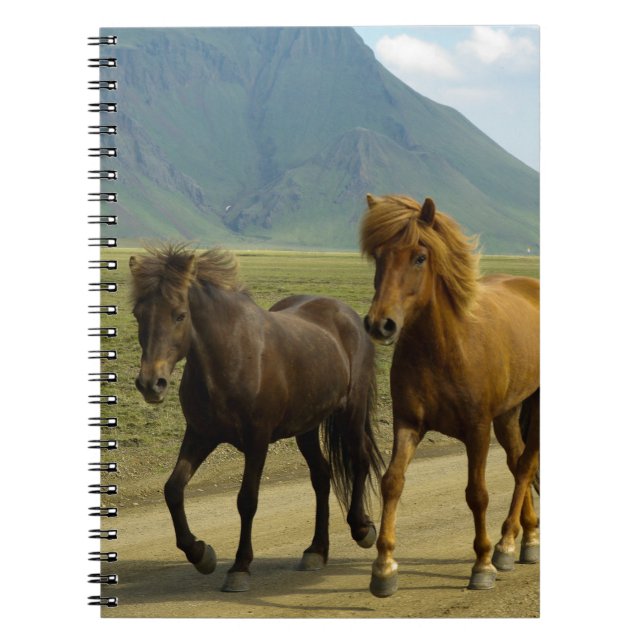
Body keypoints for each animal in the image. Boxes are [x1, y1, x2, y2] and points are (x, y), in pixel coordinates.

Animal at [129, 244, 383, 592]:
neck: (230, 356)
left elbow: (246, 500)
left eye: (179, 314)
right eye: (138, 315)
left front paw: (239, 567)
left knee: (358, 460)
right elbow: (173, 489)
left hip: (352, 412)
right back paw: (316, 551)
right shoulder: (200, 434)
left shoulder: (257, 440)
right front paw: (200, 553)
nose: (151, 383)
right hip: (306, 426)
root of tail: (347, 314)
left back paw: (361, 529)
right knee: (321, 476)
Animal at [360, 194, 540, 596]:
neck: (444, 348)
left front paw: (483, 563)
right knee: (517, 459)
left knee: (525, 466)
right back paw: (527, 539)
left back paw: (506, 544)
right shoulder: (408, 424)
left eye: (419, 257)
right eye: (378, 256)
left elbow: (477, 493)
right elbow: (392, 482)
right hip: (507, 413)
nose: (381, 324)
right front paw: (384, 568)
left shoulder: (477, 429)